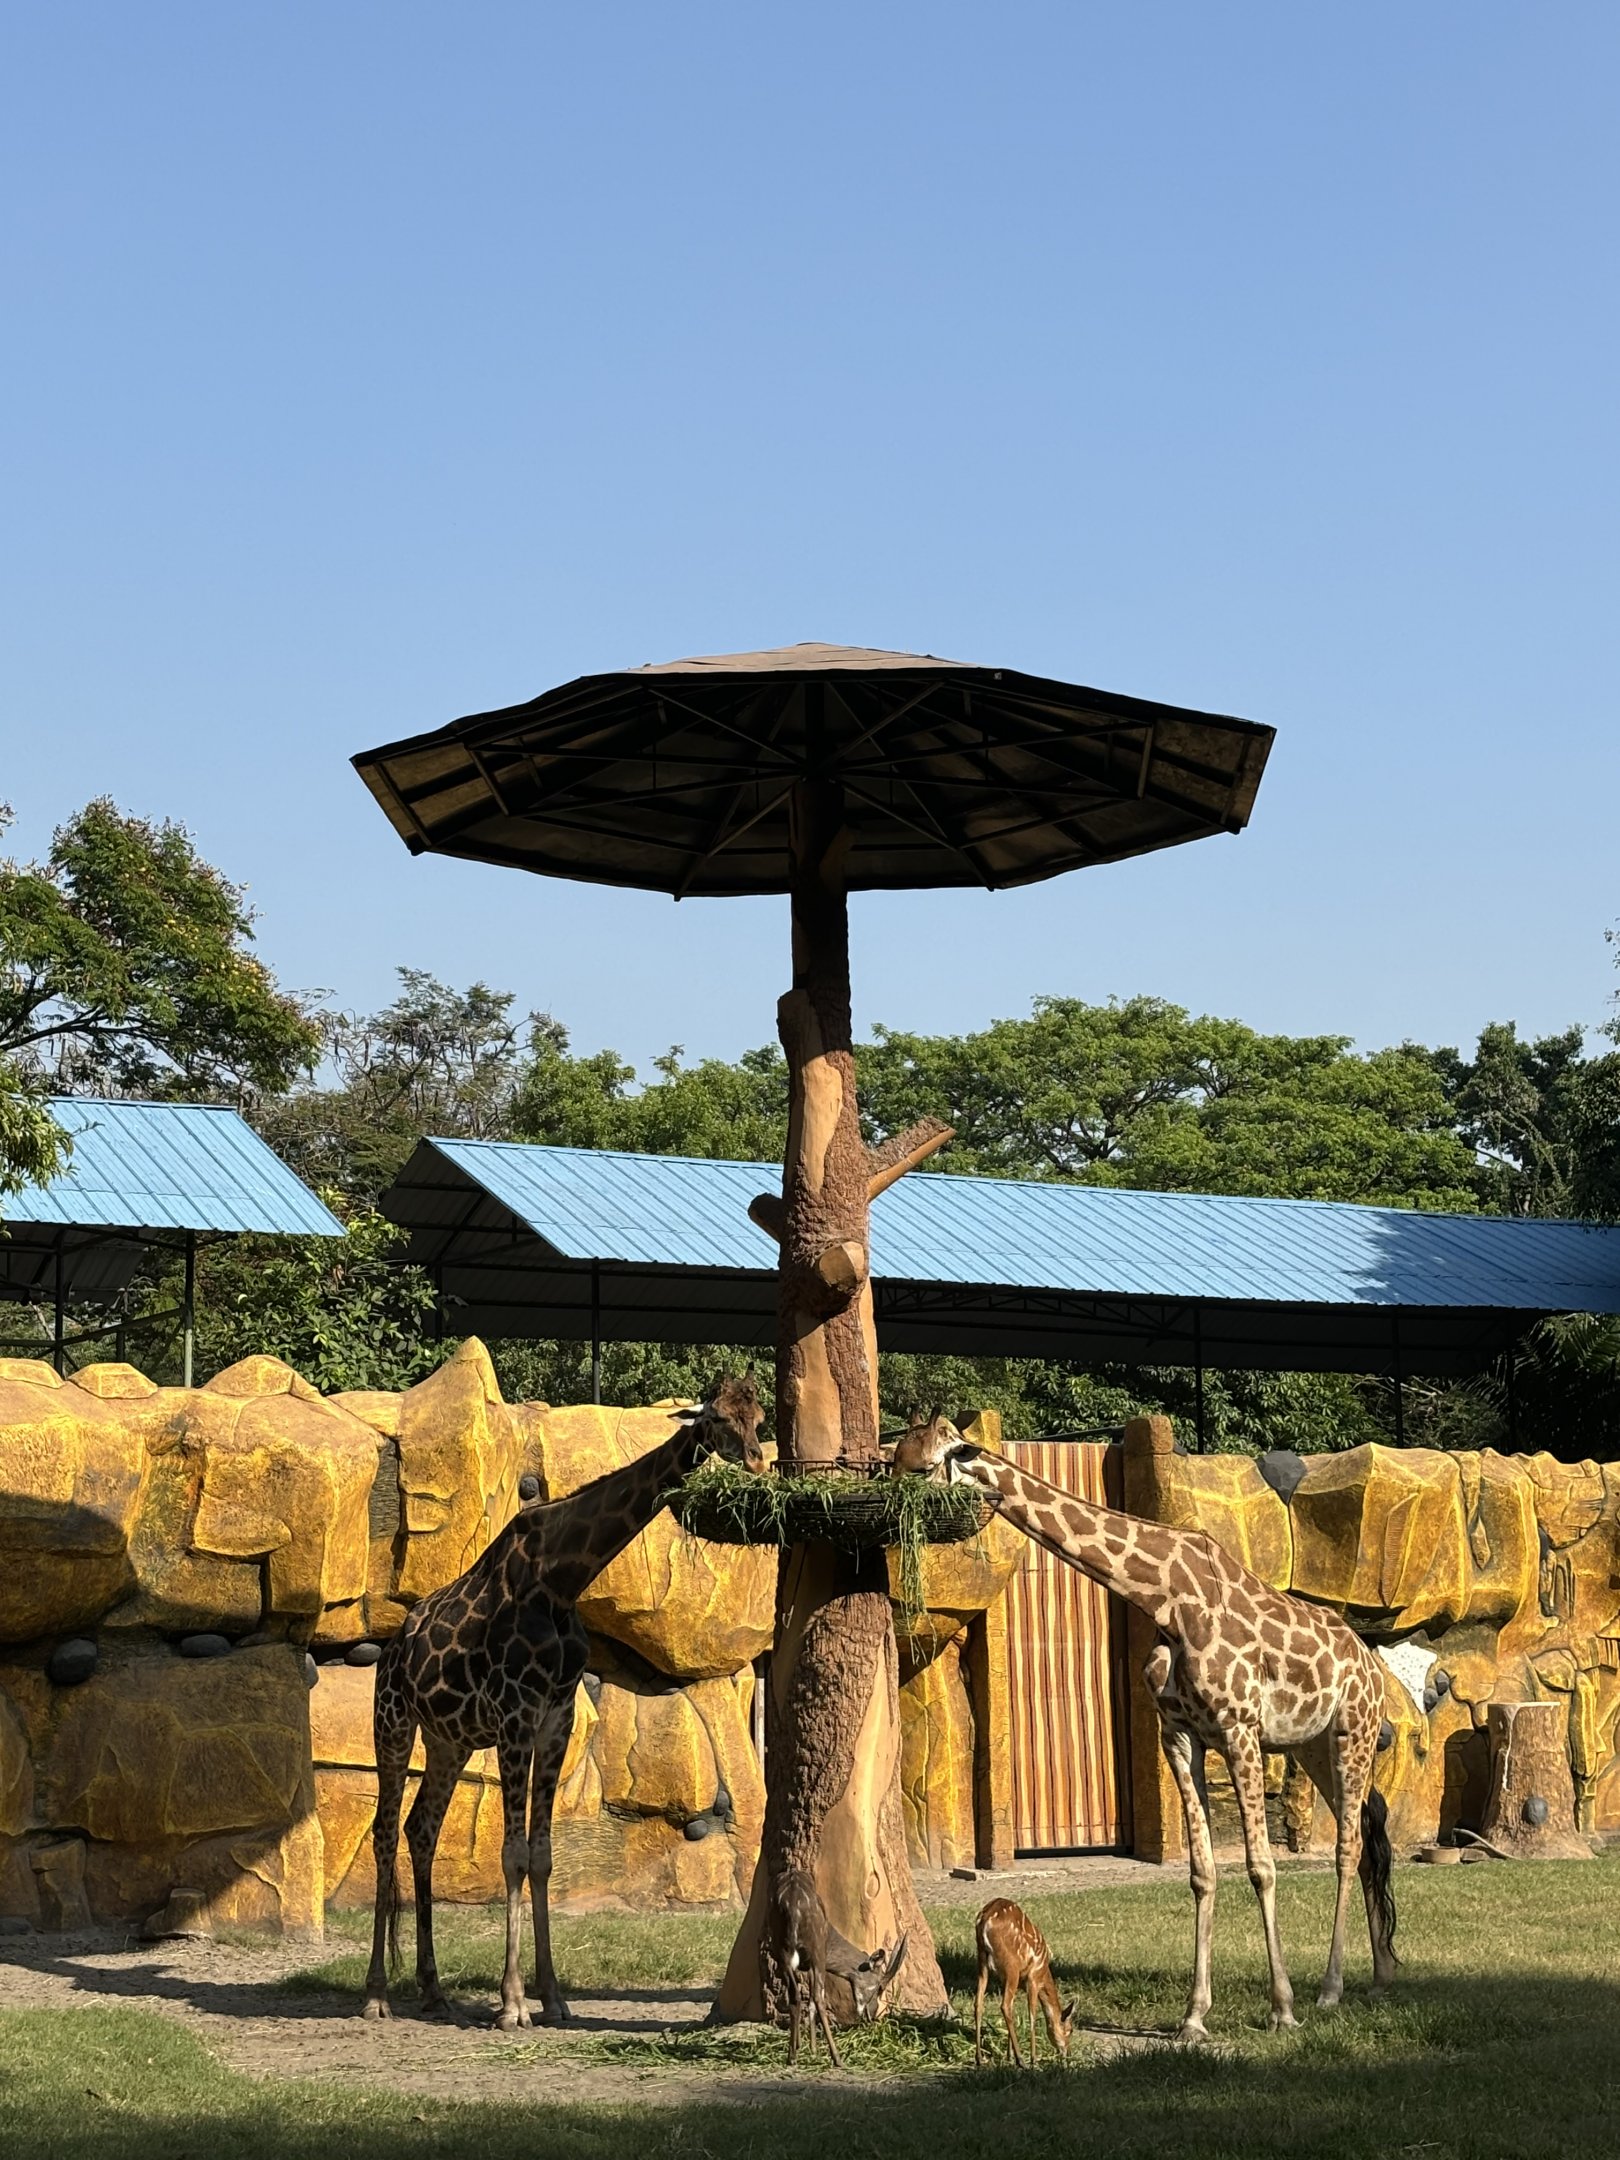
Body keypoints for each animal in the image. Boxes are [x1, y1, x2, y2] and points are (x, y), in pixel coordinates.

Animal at [362, 1372, 765, 2030]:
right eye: (716, 1419)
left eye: (757, 1418)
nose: (757, 1460)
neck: (562, 1578)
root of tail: (393, 1647)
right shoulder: (516, 1718)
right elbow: (512, 1854)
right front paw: (511, 2004)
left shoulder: (556, 1720)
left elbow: (544, 1856)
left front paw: (552, 1997)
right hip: (392, 1720)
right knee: (384, 1831)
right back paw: (375, 1993)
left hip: (448, 1739)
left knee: (422, 1829)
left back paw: (432, 1988)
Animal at [935, 1438, 1398, 2039]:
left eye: (926, 1460)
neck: (1166, 1600)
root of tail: (1372, 1665)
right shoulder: (1178, 1734)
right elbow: (1201, 1871)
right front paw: (1194, 2016)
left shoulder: (1239, 1727)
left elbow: (1260, 1866)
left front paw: (1282, 2007)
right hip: (1311, 1745)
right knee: (1366, 1833)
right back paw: (1382, 1973)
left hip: (1352, 1729)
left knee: (1347, 1848)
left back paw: (1329, 1990)